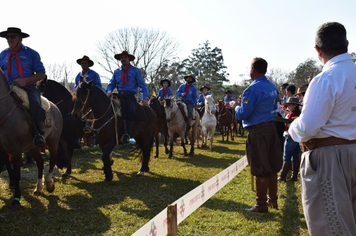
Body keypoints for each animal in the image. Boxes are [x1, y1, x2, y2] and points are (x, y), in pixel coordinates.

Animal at [0, 70, 63, 206]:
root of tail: (54, 106)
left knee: (52, 160)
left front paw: (16, 198)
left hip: (53, 141)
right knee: (40, 163)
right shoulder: (3, 150)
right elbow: (8, 167)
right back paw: (38, 188)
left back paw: (49, 184)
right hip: (33, 147)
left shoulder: (16, 150)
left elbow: (16, 172)